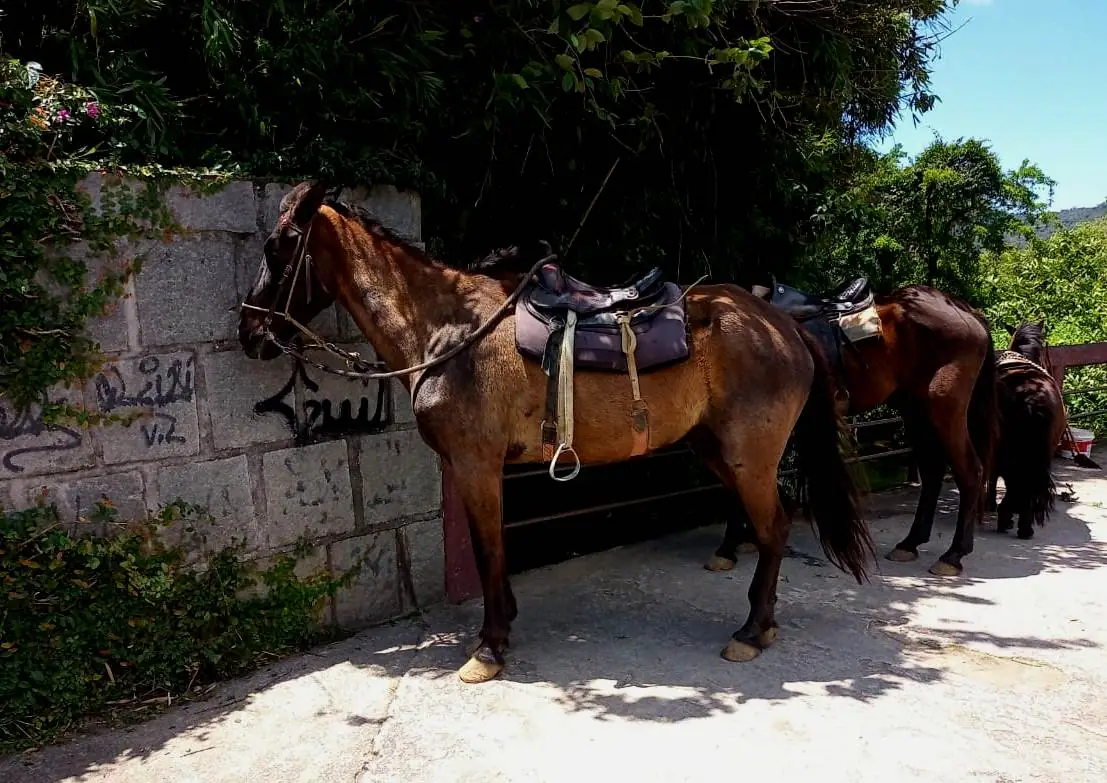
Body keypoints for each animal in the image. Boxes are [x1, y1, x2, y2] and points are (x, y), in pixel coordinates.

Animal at [240, 183, 872, 686]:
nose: (248, 332)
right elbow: (491, 545)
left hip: (749, 456)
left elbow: (489, 548)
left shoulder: (475, 464)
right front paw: (504, 624)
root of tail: (783, 324)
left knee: (775, 528)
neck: (450, 330)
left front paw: (489, 647)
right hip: (715, 450)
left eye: (276, 249)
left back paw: (752, 630)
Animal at [708, 281, 1005, 575]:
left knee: (971, 471)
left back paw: (953, 555)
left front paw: (728, 548)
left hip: (945, 411)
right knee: (932, 473)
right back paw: (910, 544)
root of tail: (969, 313)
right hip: (916, 411)